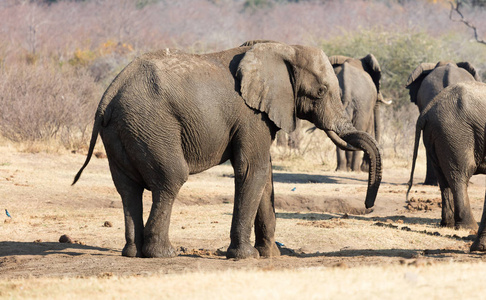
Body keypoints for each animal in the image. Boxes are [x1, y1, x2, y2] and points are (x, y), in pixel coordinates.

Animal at [72, 41, 384, 258]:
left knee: (128, 188)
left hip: (122, 131)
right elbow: (251, 169)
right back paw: (163, 253)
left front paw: (271, 255)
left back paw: (133, 253)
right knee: (170, 179)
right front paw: (245, 256)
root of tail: (108, 95)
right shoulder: (251, 115)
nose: (368, 206)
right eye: (320, 92)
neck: (283, 47)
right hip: (151, 125)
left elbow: (264, 175)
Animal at [406, 81, 486, 231]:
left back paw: (447, 224)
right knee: (460, 174)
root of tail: (426, 111)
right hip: (456, 133)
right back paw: (468, 227)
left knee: (443, 178)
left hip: (436, 136)